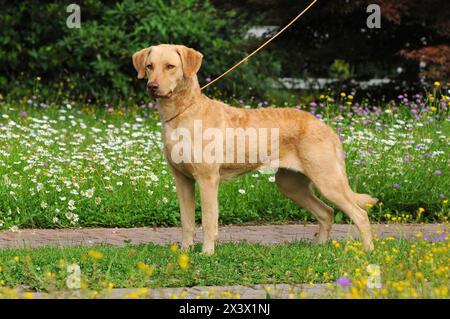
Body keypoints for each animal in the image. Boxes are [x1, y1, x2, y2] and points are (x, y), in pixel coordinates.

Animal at [132, 44, 378, 255]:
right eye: (150, 66)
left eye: (170, 66)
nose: (152, 87)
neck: (181, 113)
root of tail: (326, 127)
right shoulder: (182, 180)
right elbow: (187, 222)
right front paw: (184, 252)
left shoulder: (207, 179)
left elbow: (209, 221)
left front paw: (207, 253)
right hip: (291, 184)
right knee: (327, 212)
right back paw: (319, 248)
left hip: (327, 181)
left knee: (360, 215)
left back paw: (368, 252)